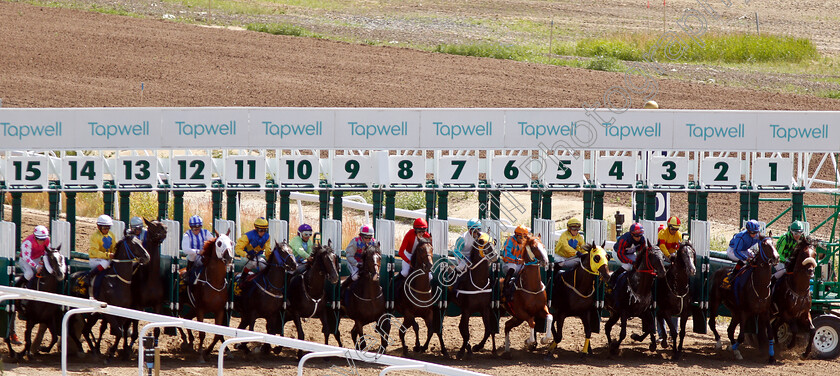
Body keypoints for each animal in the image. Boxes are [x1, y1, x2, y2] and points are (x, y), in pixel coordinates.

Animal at [179, 231, 233, 362]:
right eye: (219, 243)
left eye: (231, 242)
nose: (229, 257)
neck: (215, 282)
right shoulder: (201, 309)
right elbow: (202, 333)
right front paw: (200, 355)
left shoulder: (219, 310)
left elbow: (217, 334)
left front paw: (207, 351)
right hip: (181, 304)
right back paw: (185, 340)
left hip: (192, 307)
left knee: (186, 318)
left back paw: (190, 342)